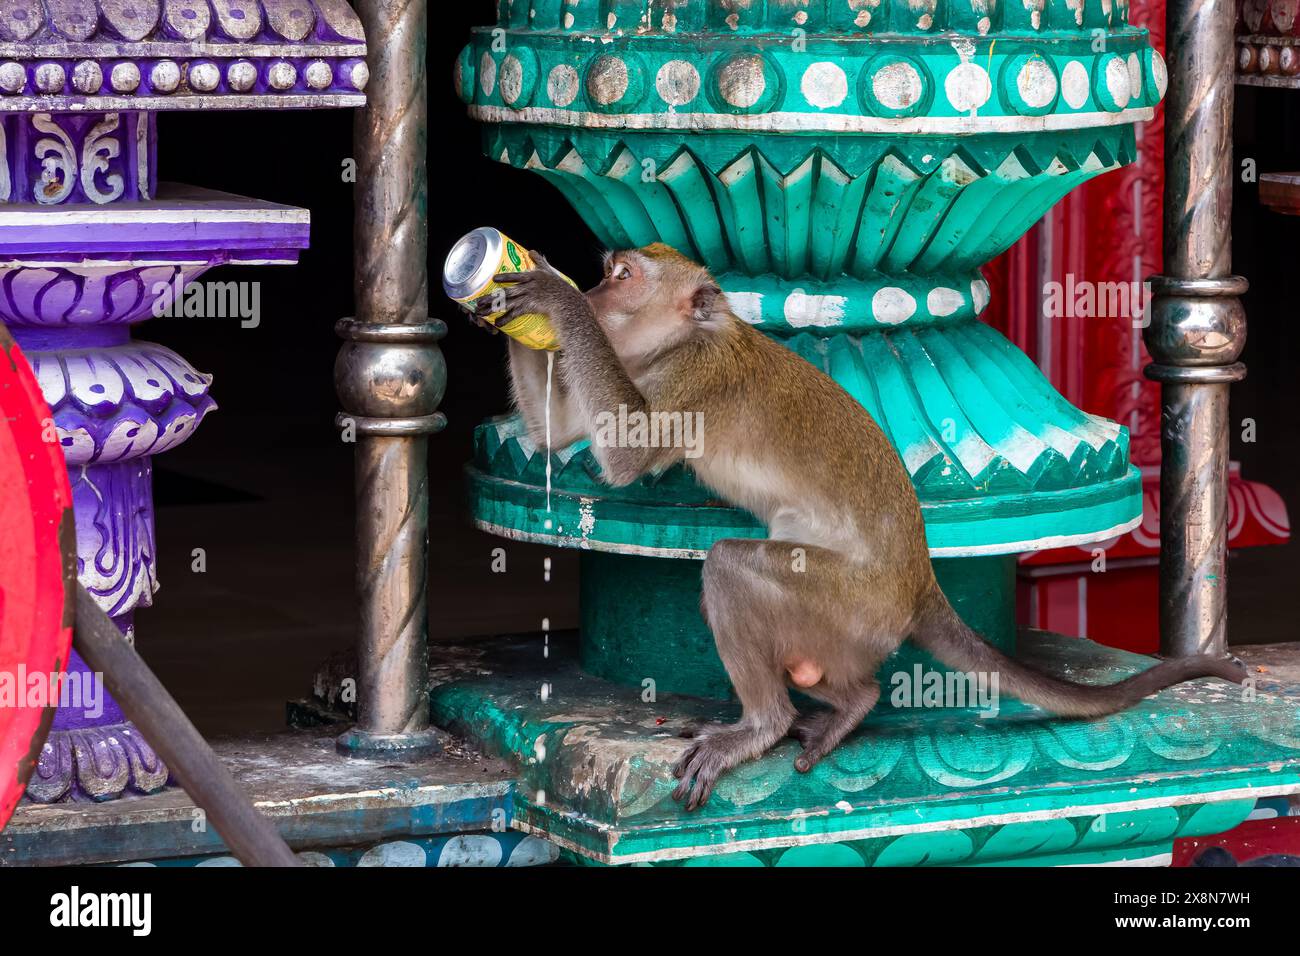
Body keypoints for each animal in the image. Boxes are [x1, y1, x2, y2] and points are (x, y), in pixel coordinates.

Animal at [479, 243, 1246, 812]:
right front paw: (514, 302)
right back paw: (853, 701)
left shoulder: (689, 381)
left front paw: (550, 299)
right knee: (830, 666)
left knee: (731, 566)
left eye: (623, 277)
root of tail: (918, 582)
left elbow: (624, 454)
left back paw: (764, 725)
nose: (593, 295)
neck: (677, 341)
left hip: (850, 607)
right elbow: (556, 437)